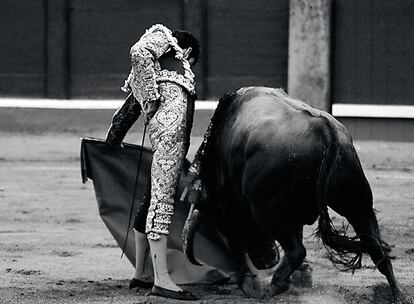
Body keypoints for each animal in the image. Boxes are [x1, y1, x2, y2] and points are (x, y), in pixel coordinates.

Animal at [184, 86, 410, 302]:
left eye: (219, 223)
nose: (267, 261)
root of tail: (321, 127)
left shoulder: (235, 211)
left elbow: (237, 245)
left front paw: (248, 282)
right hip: (356, 200)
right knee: (376, 249)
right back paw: (397, 295)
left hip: (266, 211)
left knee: (296, 251)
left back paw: (274, 286)